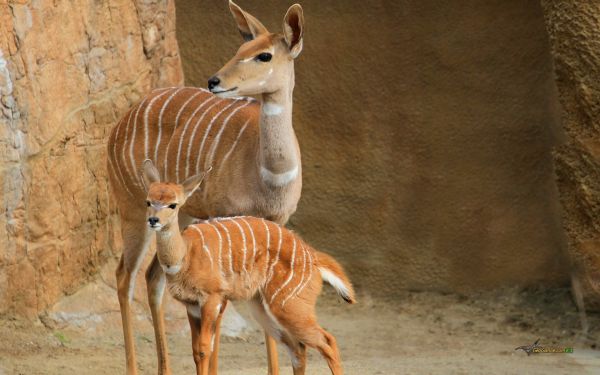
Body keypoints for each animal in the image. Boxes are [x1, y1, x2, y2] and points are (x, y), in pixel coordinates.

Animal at [106, 1, 304, 374]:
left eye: (264, 55)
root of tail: (120, 123)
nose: (214, 80)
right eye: (240, 48)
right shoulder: (224, 219)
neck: (270, 176)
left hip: (176, 214)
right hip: (134, 208)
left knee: (153, 277)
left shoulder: (274, 226)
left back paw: (164, 368)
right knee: (125, 275)